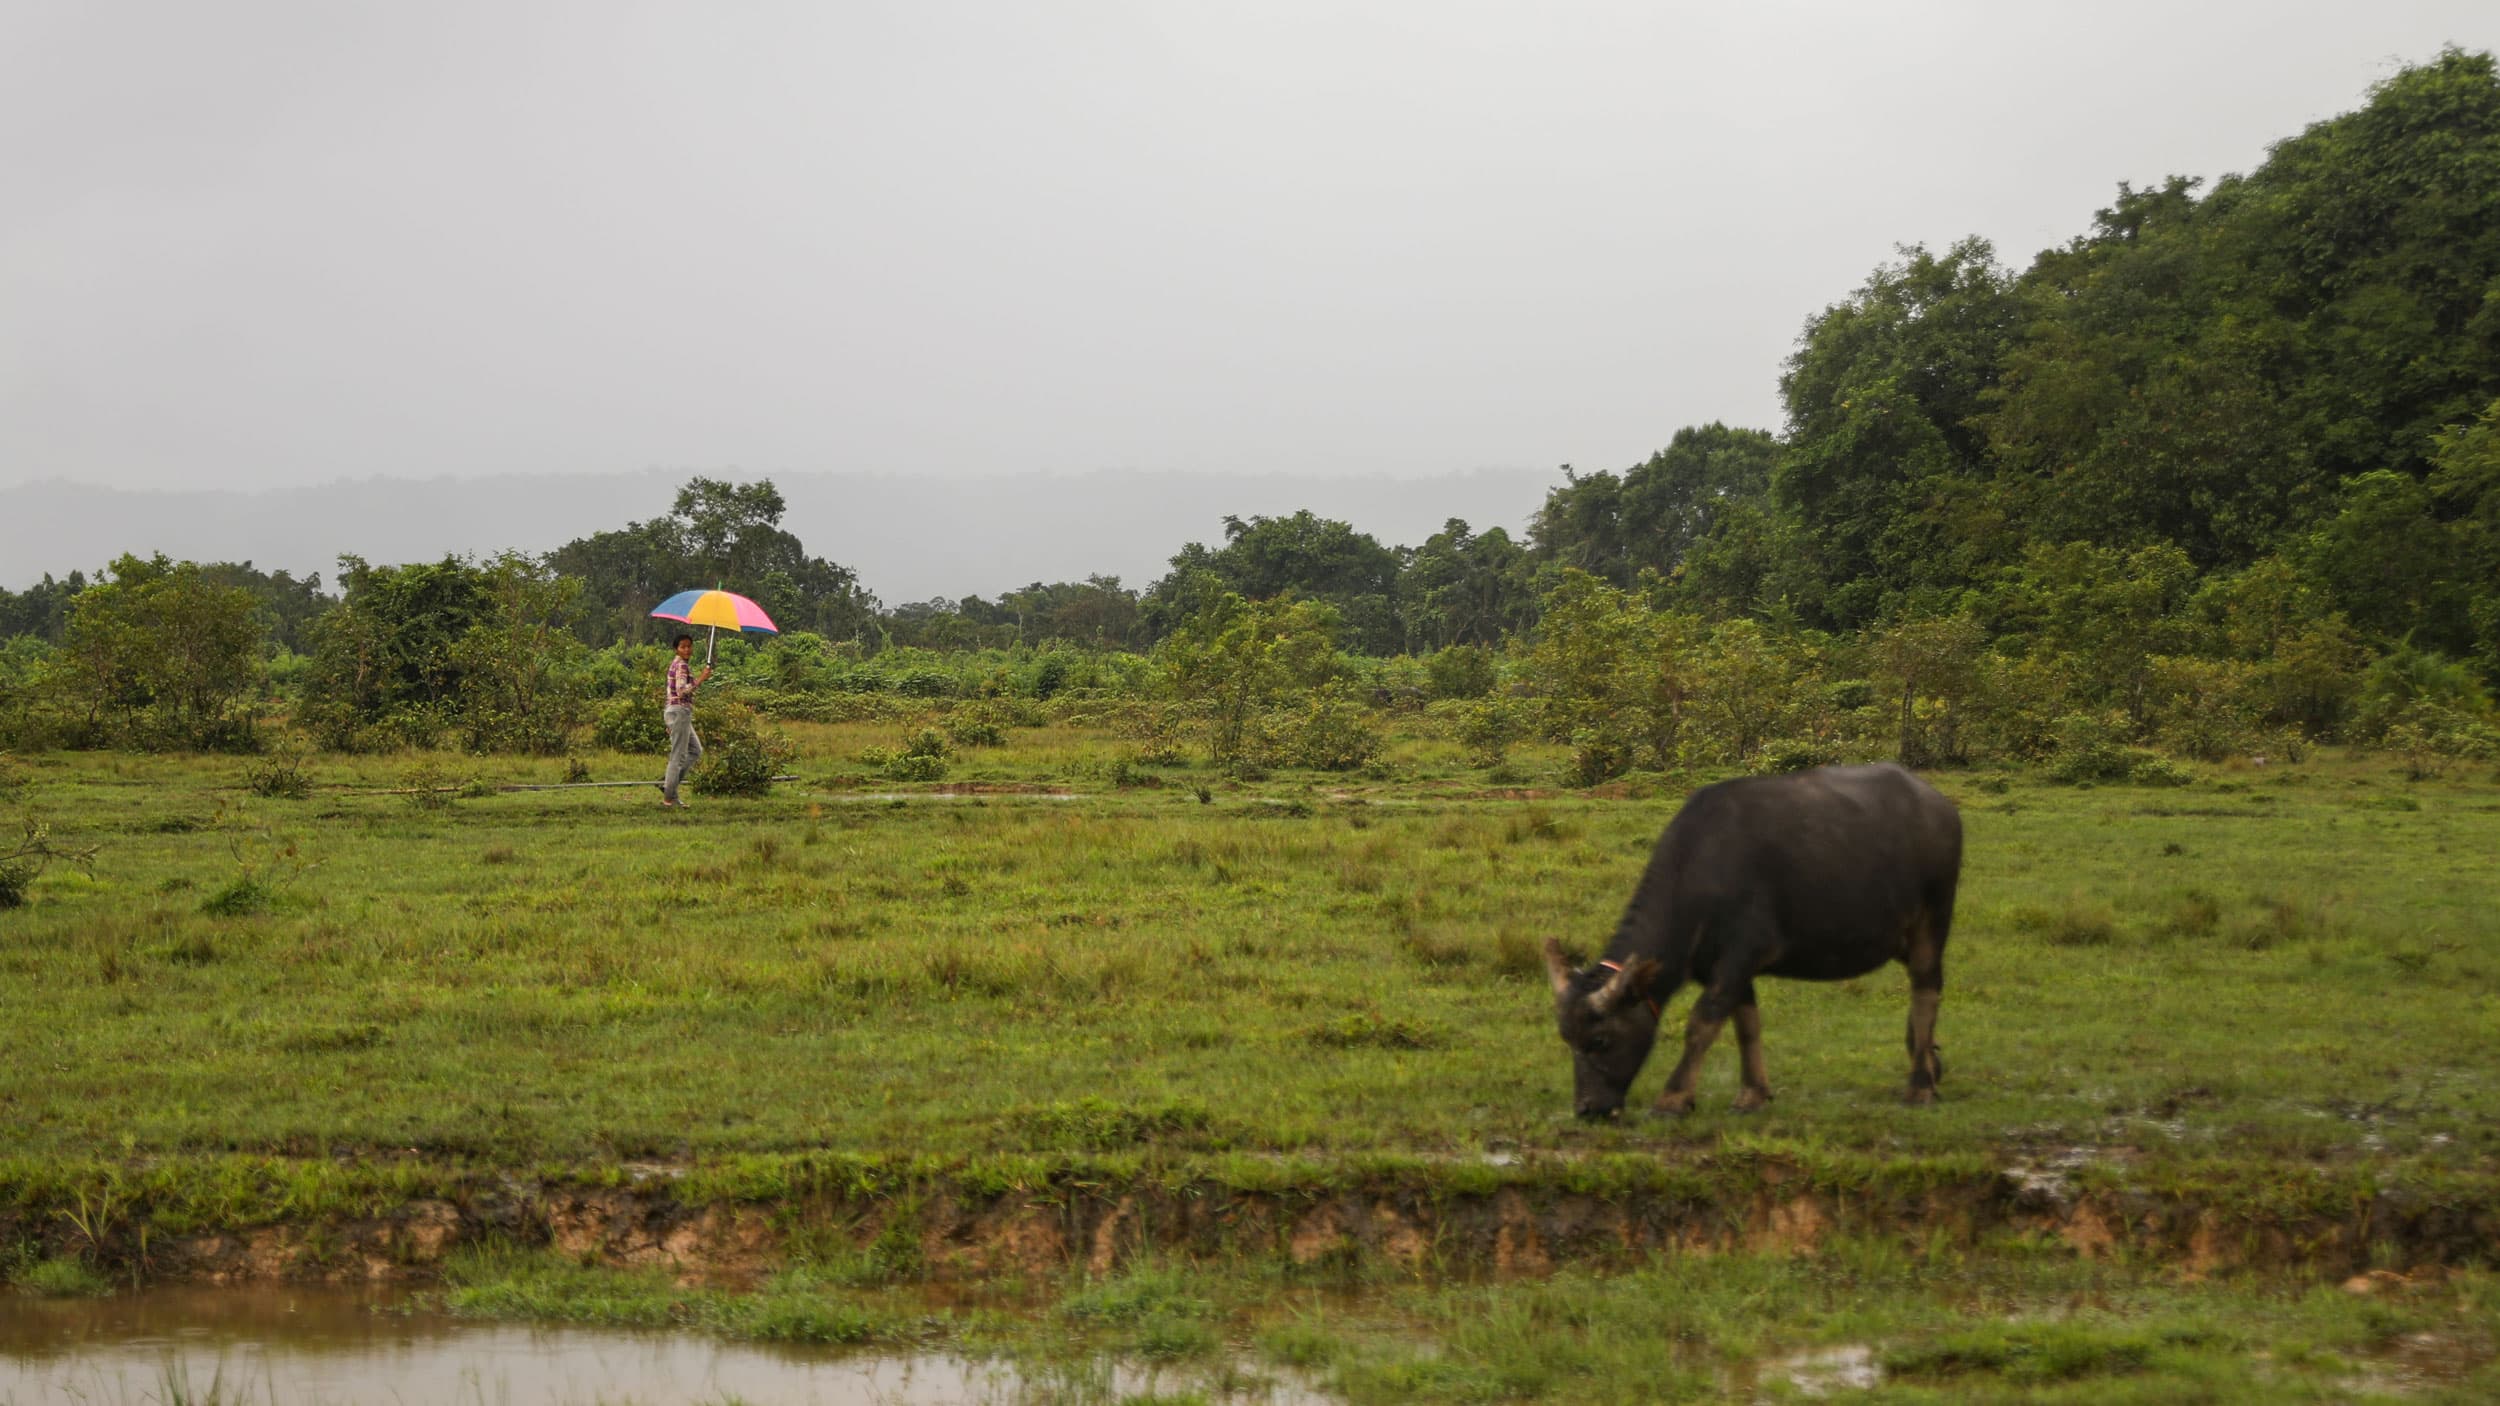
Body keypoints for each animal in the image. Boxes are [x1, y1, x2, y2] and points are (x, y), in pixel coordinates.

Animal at [1544, 763, 1962, 1119]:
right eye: (1567, 1039)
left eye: (1601, 1040)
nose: (1587, 1109)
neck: (1700, 873)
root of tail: (1941, 806)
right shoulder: (1729, 970)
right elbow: (1746, 1027)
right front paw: (1752, 1094)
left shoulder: (1739, 957)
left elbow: (1702, 1023)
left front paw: (1673, 1099)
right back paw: (1928, 1060)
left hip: (1932, 920)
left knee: (1927, 990)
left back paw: (1920, 1086)